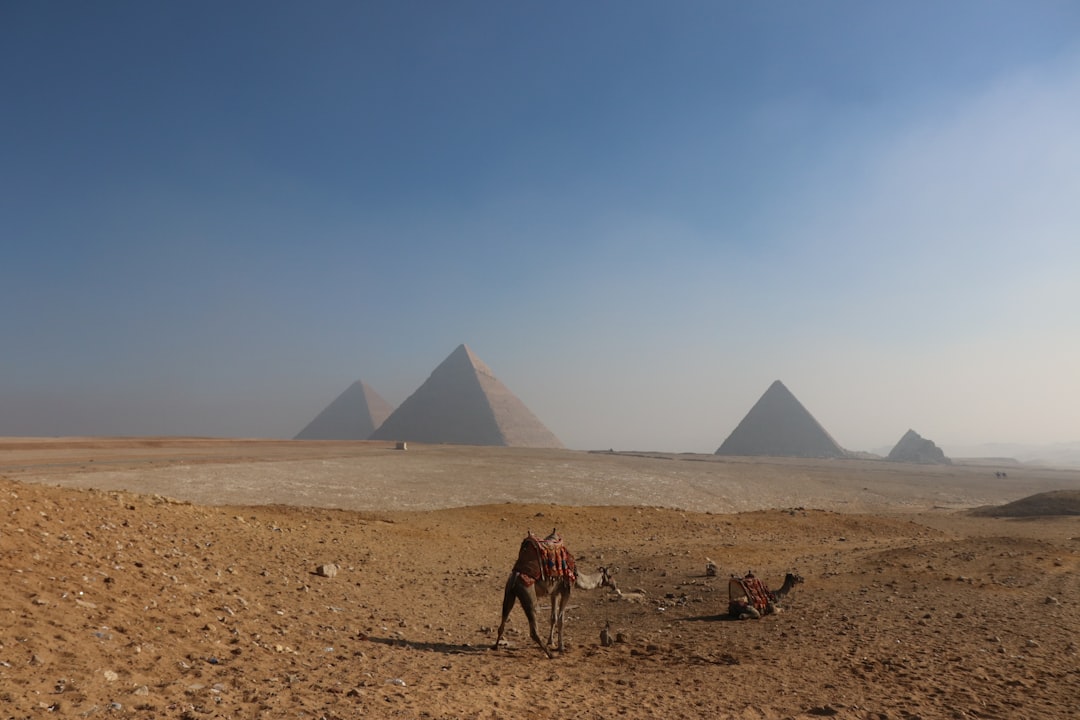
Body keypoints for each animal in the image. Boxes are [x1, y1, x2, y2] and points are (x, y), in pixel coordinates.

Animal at [494, 528, 613, 660]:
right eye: (610, 576)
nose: (614, 585)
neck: (577, 575)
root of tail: (515, 576)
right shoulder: (567, 590)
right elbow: (561, 619)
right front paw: (561, 647)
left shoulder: (554, 592)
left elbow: (553, 617)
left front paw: (551, 642)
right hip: (528, 594)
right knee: (533, 630)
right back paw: (550, 654)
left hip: (509, 592)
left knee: (503, 620)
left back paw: (495, 646)